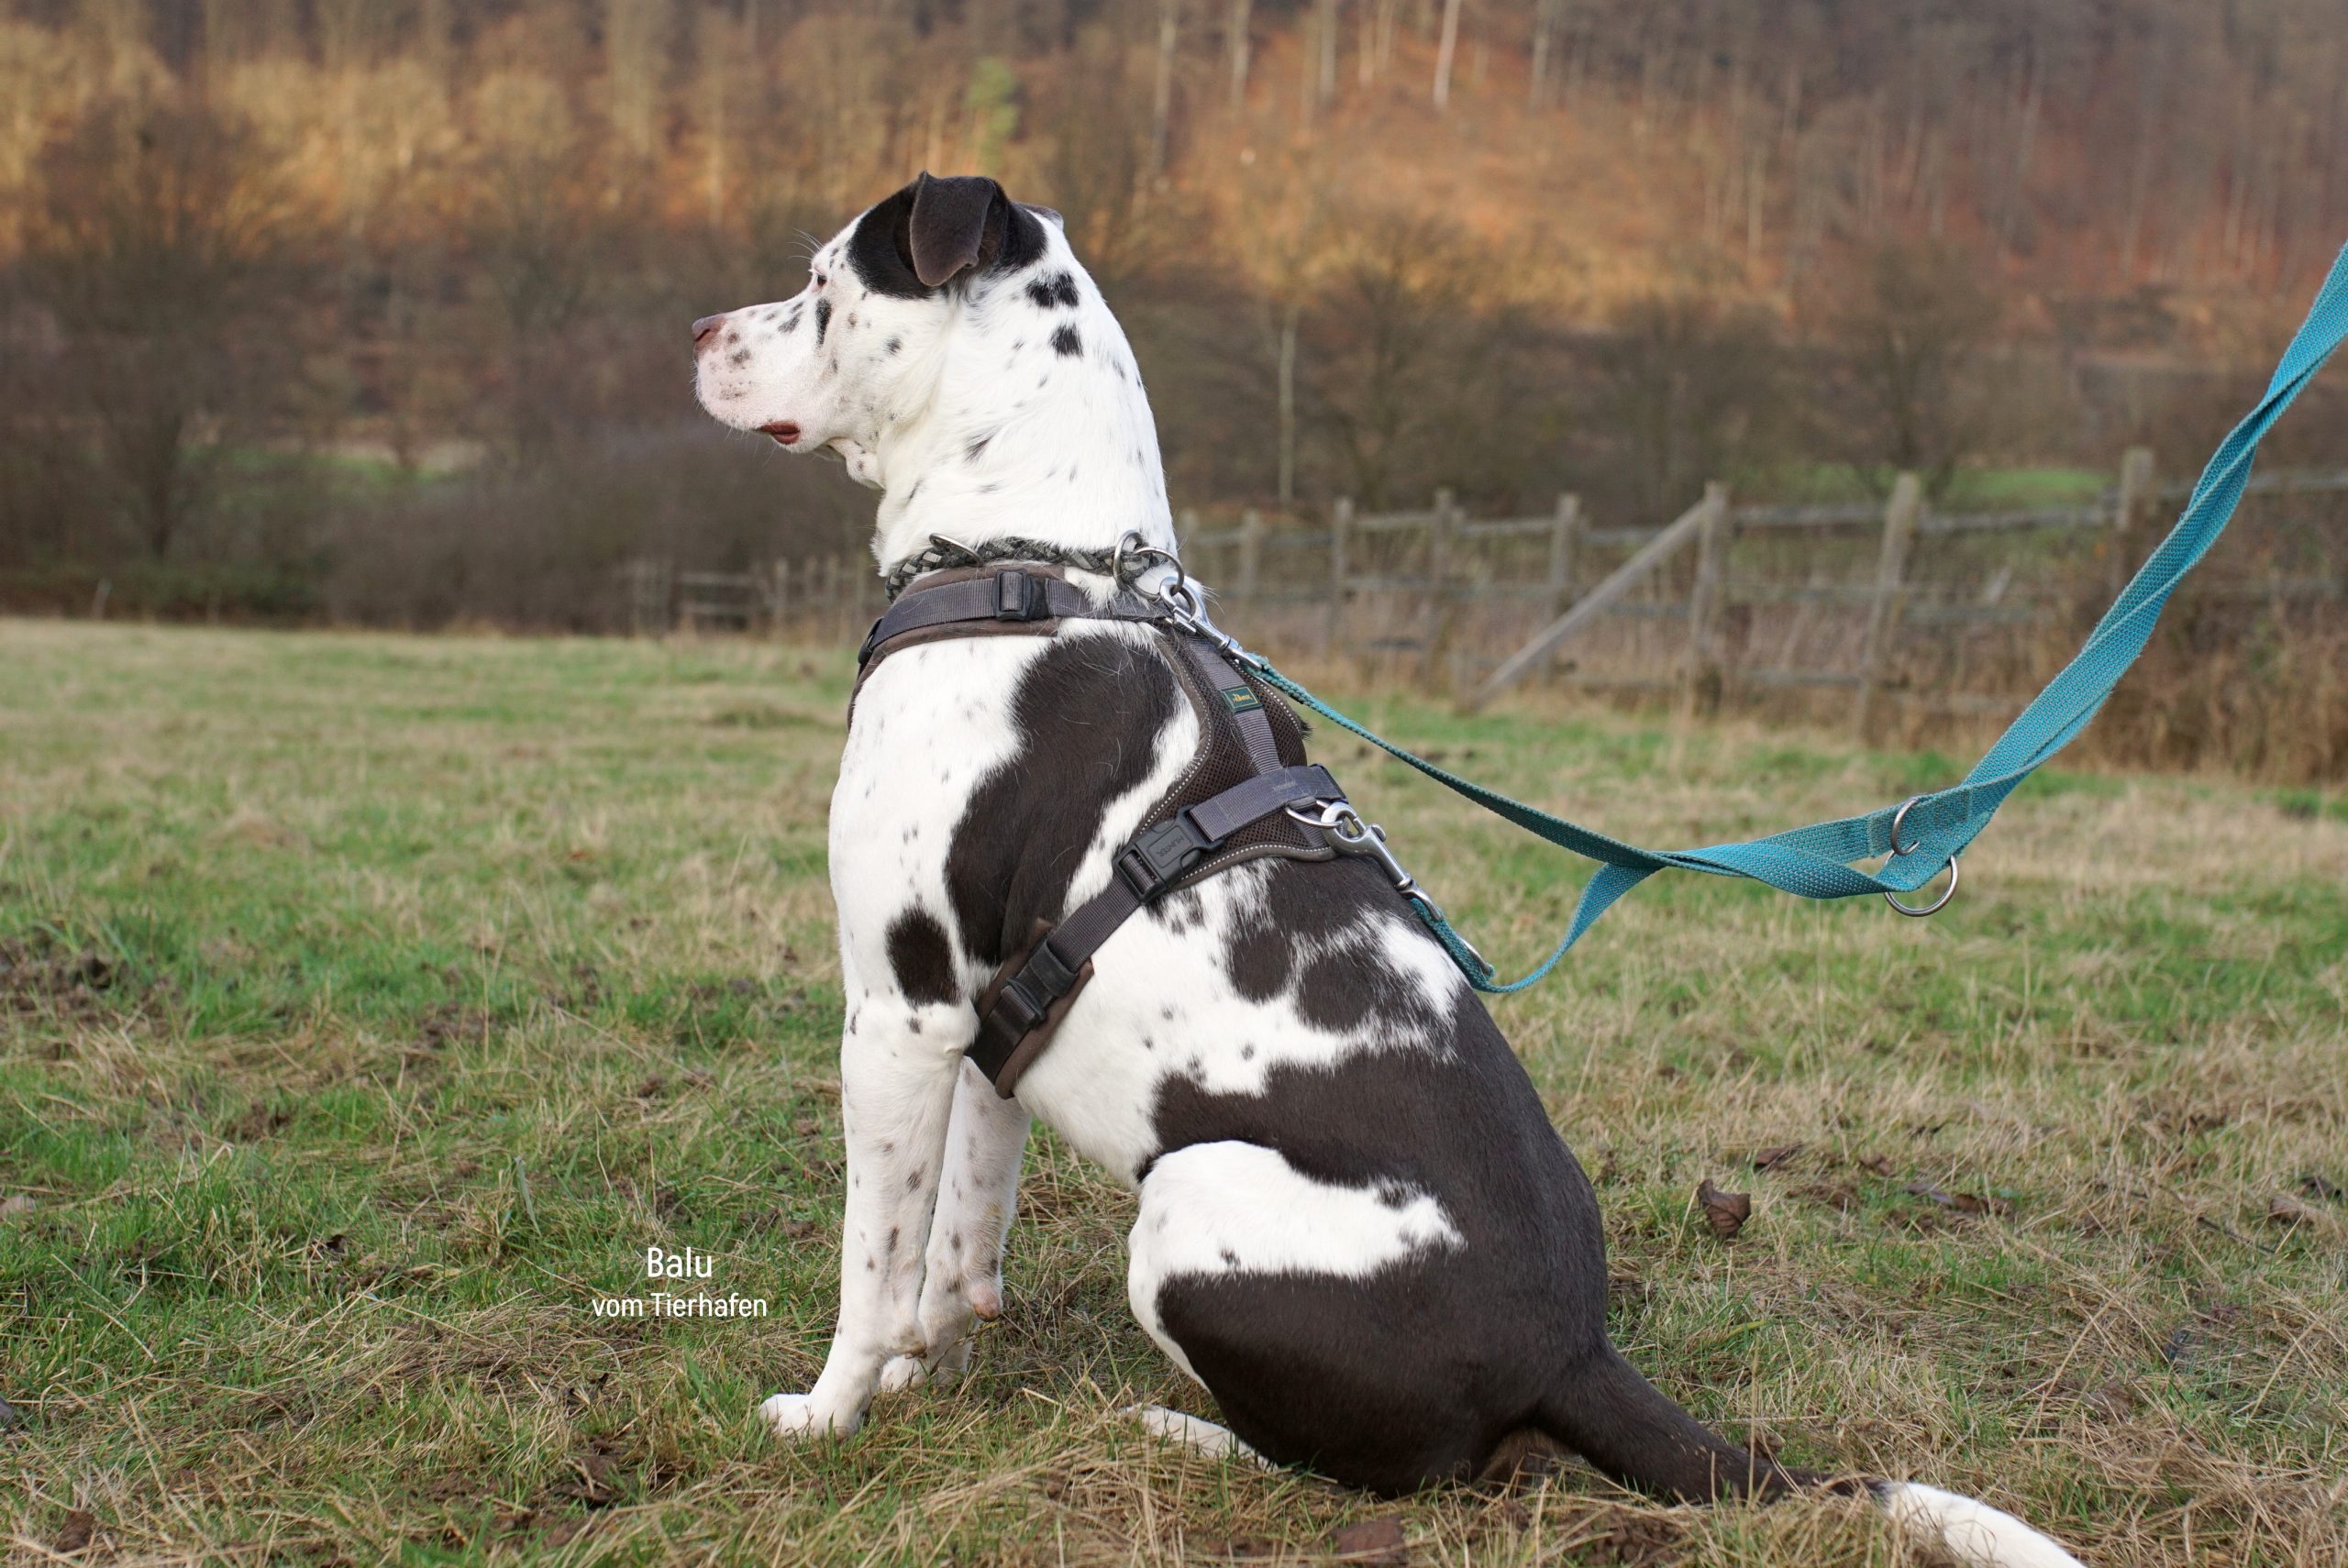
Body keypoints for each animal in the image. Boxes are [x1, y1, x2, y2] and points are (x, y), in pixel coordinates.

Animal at [691, 172, 2086, 1568]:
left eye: (823, 284)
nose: (701, 330)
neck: (1036, 563)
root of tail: (1574, 1351)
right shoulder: (986, 1030)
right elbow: (955, 1246)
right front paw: (928, 1374)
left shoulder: (898, 1013)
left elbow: (873, 1261)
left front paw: (830, 1412)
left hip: (1187, 1205)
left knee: (1379, 1468)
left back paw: (1182, 1430)